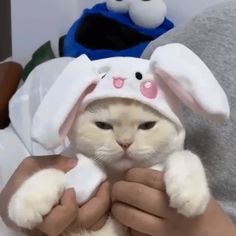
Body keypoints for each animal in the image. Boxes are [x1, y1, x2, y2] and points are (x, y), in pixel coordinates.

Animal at [7, 97, 210, 236]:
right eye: (102, 125)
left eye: (147, 125)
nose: (125, 142)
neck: (116, 175)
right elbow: (54, 170)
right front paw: (27, 200)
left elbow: (185, 155)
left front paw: (191, 192)